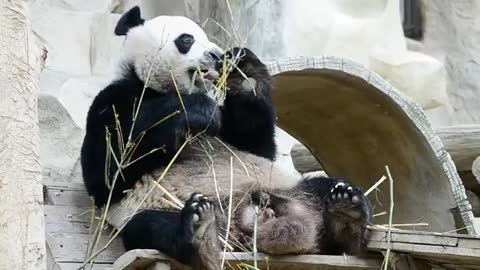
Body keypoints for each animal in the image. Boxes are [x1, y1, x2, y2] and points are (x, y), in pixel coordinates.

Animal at [80, 6, 374, 270]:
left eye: (211, 39)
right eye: (186, 39)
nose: (215, 55)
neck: (158, 88)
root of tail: (249, 221)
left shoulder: (237, 133)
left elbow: (257, 144)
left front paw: (244, 73)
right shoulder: (113, 102)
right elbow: (106, 172)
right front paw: (196, 111)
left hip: (286, 188)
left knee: (324, 188)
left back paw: (347, 213)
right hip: (159, 209)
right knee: (150, 226)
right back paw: (201, 232)